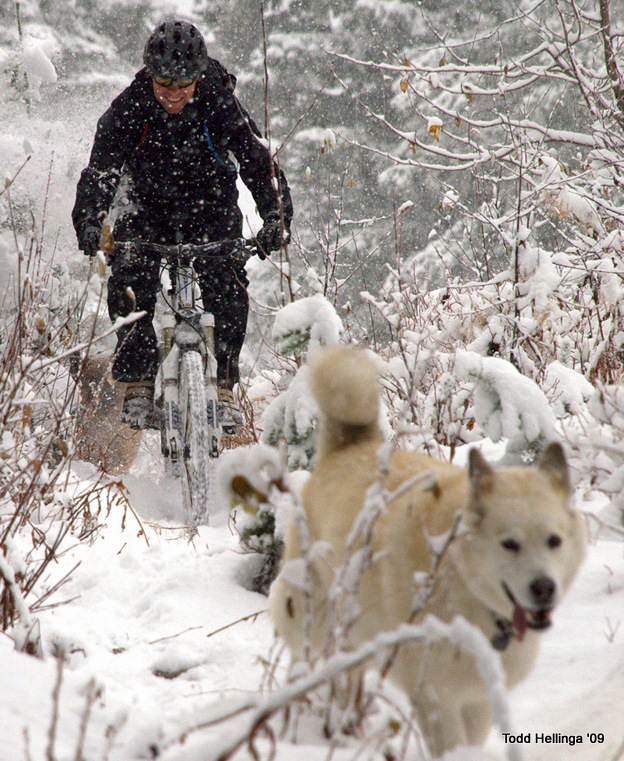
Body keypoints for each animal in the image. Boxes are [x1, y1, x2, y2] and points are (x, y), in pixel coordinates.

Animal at [270, 348, 588, 756]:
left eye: (554, 541)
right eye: (510, 544)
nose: (544, 588)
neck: (462, 583)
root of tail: (350, 445)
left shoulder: (477, 700)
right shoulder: (437, 698)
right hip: (317, 626)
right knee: (306, 670)